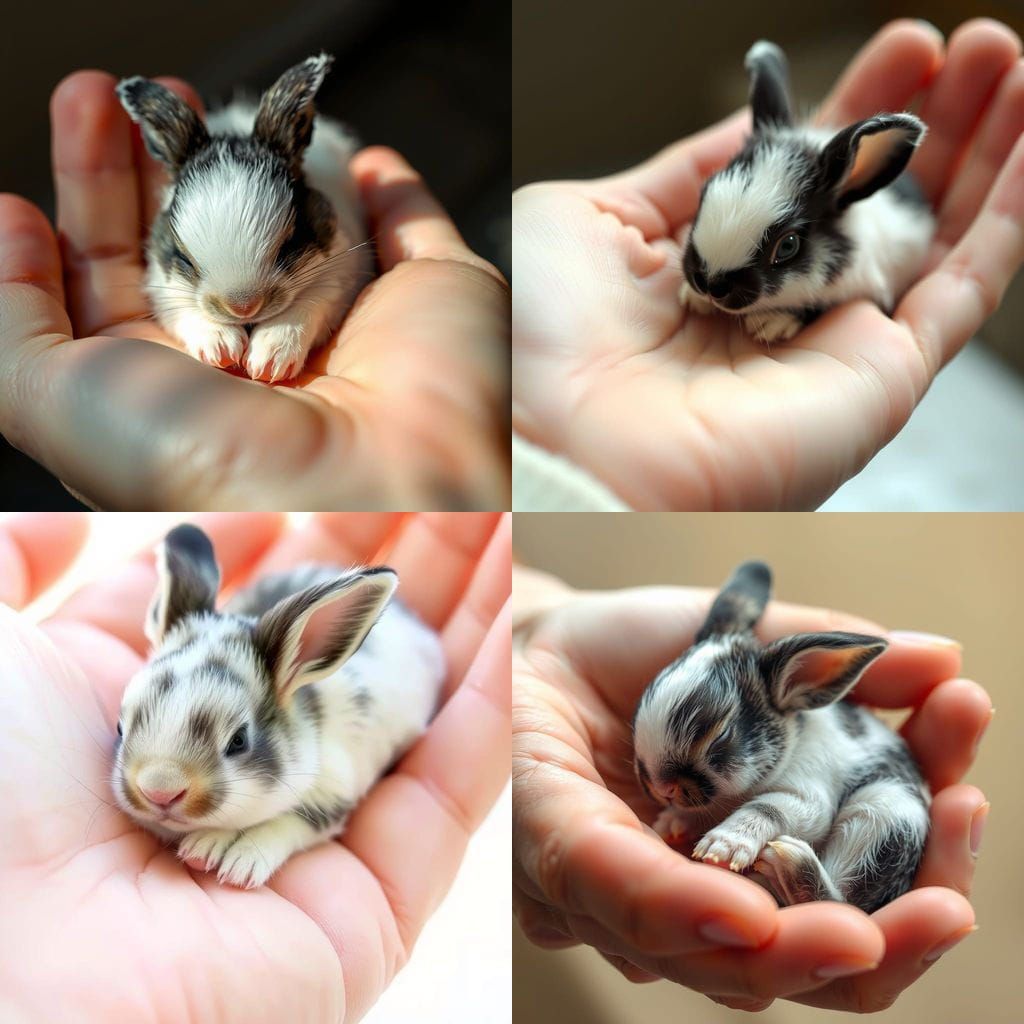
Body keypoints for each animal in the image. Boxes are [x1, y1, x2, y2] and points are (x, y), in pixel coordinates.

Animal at [110, 523, 446, 889]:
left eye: (238, 741)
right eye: (120, 727)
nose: (159, 791)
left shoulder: (331, 798)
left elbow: (285, 824)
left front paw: (233, 860)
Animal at [117, 54, 371, 382]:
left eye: (291, 242)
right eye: (184, 258)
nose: (243, 307)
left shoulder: (338, 276)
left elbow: (309, 304)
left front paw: (271, 360)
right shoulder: (164, 287)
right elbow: (186, 311)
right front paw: (220, 347)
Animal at [632, 560, 929, 913]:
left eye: (721, 735)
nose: (660, 788)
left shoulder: (808, 797)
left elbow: (770, 807)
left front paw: (724, 846)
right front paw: (672, 824)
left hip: (886, 812)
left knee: (842, 903)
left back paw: (790, 863)